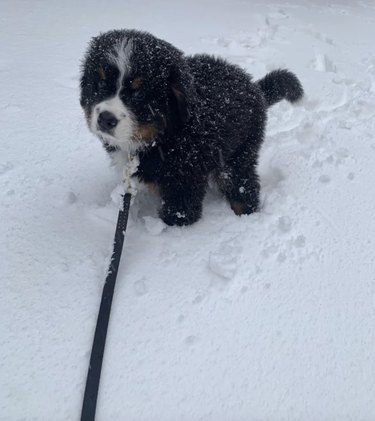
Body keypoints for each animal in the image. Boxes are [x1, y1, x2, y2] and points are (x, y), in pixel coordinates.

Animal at [80, 29, 306, 225]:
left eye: (140, 94)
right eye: (100, 84)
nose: (105, 119)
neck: (161, 137)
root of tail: (254, 87)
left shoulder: (183, 182)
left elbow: (179, 215)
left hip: (238, 154)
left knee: (243, 185)